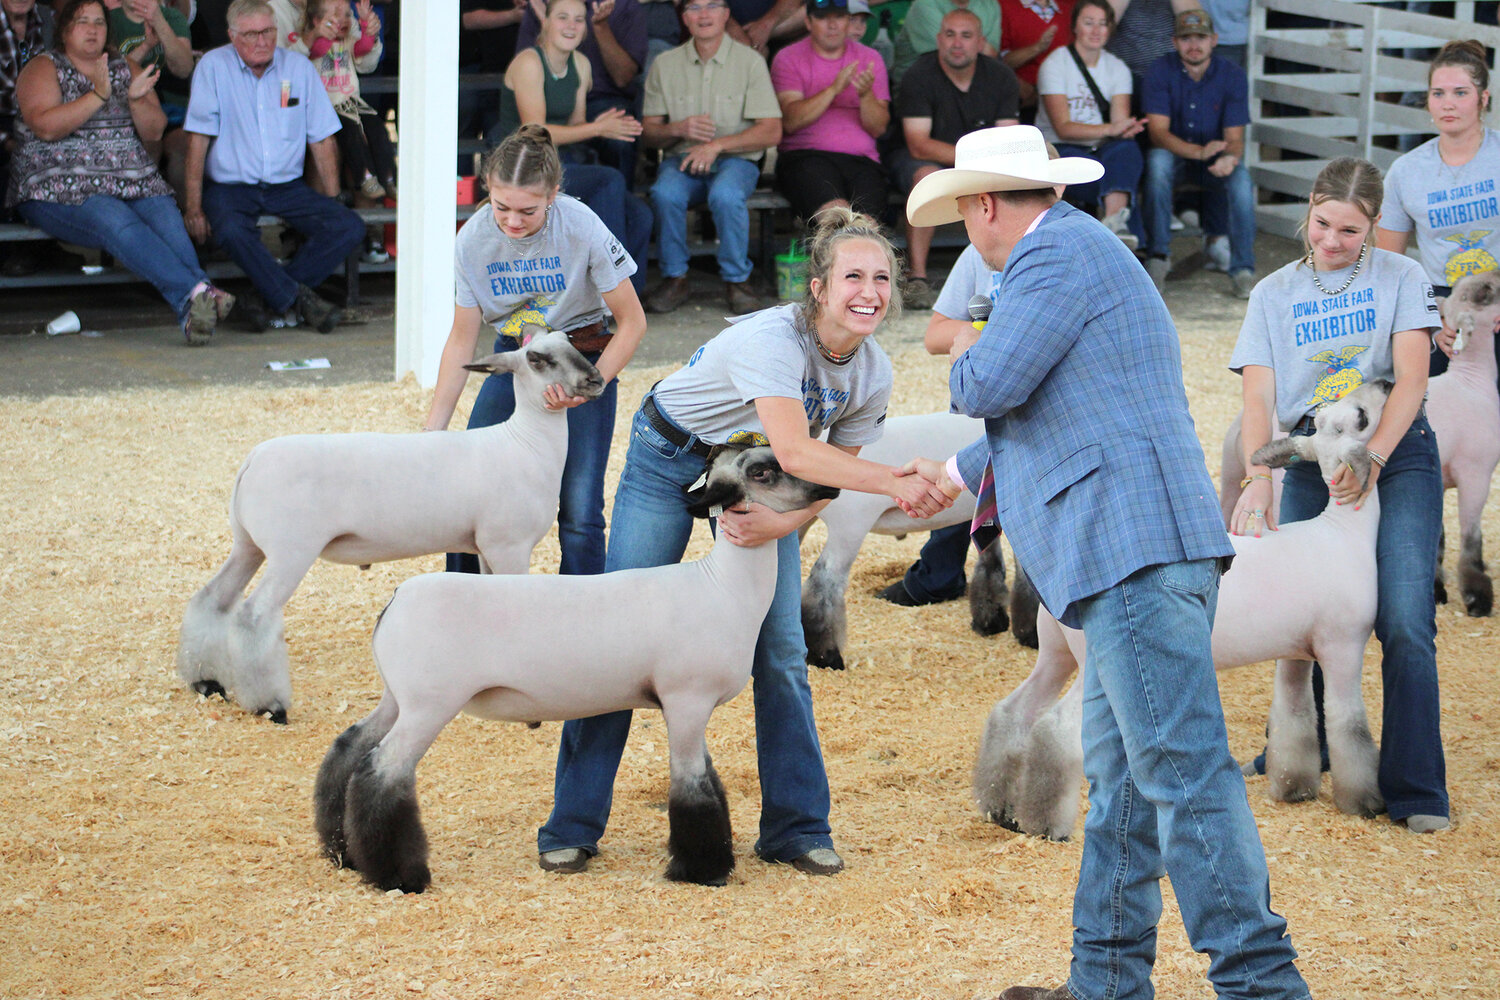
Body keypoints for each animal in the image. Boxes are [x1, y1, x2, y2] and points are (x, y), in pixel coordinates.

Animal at [184, 328, 606, 728]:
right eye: (537, 359)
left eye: (571, 340)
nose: (596, 378)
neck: (524, 445)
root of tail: (252, 459)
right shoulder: (509, 544)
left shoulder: (487, 546)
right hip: (291, 550)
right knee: (253, 615)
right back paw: (270, 707)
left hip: (248, 545)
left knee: (212, 599)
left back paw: (206, 682)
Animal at [313, 443, 846, 893]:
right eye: (762, 472)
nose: (829, 487)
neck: (724, 587)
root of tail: (396, 599)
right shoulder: (686, 699)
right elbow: (694, 788)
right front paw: (703, 870)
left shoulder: (689, 707)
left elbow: (709, 781)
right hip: (429, 703)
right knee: (381, 771)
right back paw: (399, 875)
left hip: (398, 696)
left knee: (348, 749)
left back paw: (343, 853)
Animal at [972, 379, 1392, 839]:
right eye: (1361, 416)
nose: (1387, 383)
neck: (1343, 531)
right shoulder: (1343, 647)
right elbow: (1349, 727)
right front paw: (1365, 802)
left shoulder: (1295, 652)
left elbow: (1295, 715)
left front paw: (1294, 787)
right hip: (1097, 662)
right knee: (1056, 729)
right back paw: (1046, 824)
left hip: (1056, 653)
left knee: (1014, 712)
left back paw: (998, 807)